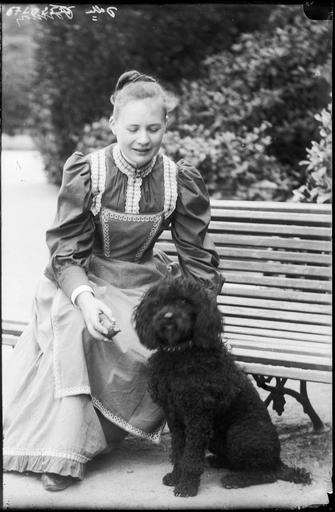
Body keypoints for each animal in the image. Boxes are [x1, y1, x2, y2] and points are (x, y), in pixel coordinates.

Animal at [134, 278, 312, 498]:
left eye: (184, 301)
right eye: (158, 302)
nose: (167, 316)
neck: (180, 354)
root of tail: (278, 460)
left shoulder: (197, 417)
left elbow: (191, 457)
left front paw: (187, 486)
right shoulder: (174, 416)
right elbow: (178, 451)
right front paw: (176, 476)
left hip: (240, 434)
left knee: (266, 474)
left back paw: (235, 480)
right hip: (215, 437)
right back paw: (218, 462)